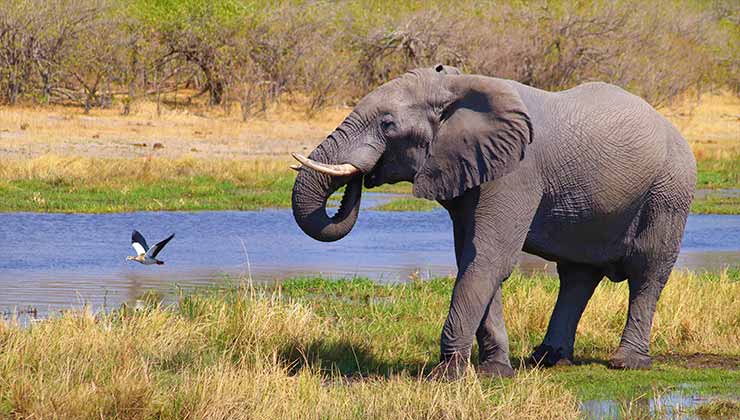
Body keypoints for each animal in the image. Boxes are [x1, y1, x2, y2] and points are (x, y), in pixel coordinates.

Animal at [288, 64, 692, 378]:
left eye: (387, 124)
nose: (360, 178)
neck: (458, 86)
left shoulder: (517, 172)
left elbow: (488, 258)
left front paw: (447, 376)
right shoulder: (471, 170)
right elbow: (474, 258)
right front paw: (494, 371)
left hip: (669, 192)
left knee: (647, 272)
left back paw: (628, 363)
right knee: (577, 275)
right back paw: (547, 360)